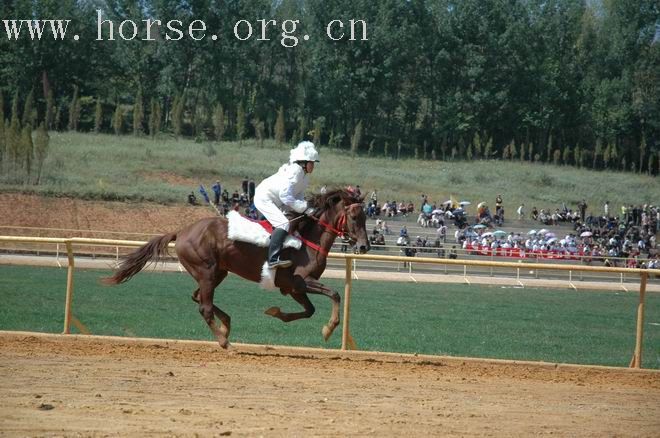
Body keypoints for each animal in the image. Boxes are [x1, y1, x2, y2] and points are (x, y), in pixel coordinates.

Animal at [103, 188, 372, 350]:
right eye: (354, 217)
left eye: (365, 217)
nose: (365, 246)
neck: (307, 239)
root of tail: (183, 231)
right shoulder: (299, 281)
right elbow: (334, 294)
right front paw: (328, 329)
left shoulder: (292, 288)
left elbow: (309, 310)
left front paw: (276, 312)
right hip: (206, 271)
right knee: (204, 306)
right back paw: (224, 341)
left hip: (215, 272)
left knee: (198, 298)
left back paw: (226, 324)